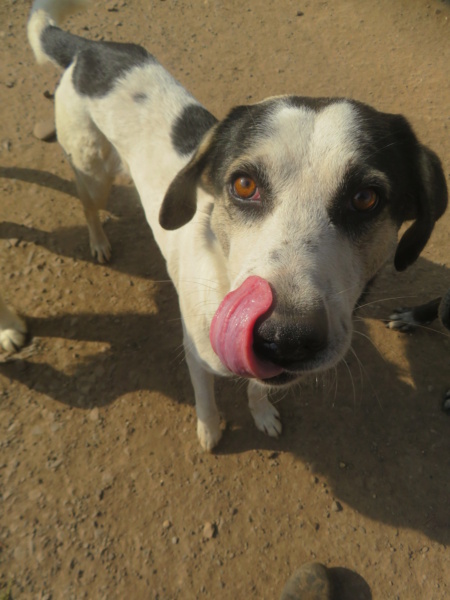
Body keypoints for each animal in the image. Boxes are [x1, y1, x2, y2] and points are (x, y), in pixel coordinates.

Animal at [27, 1, 446, 450]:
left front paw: (261, 413)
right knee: (89, 206)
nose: (285, 338)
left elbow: (258, 388)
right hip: (93, 170)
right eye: (244, 185)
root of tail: (89, 49)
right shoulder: (196, 354)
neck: (222, 270)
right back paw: (99, 242)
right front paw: (210, 431)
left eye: (366, 198)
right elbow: (206, 400)